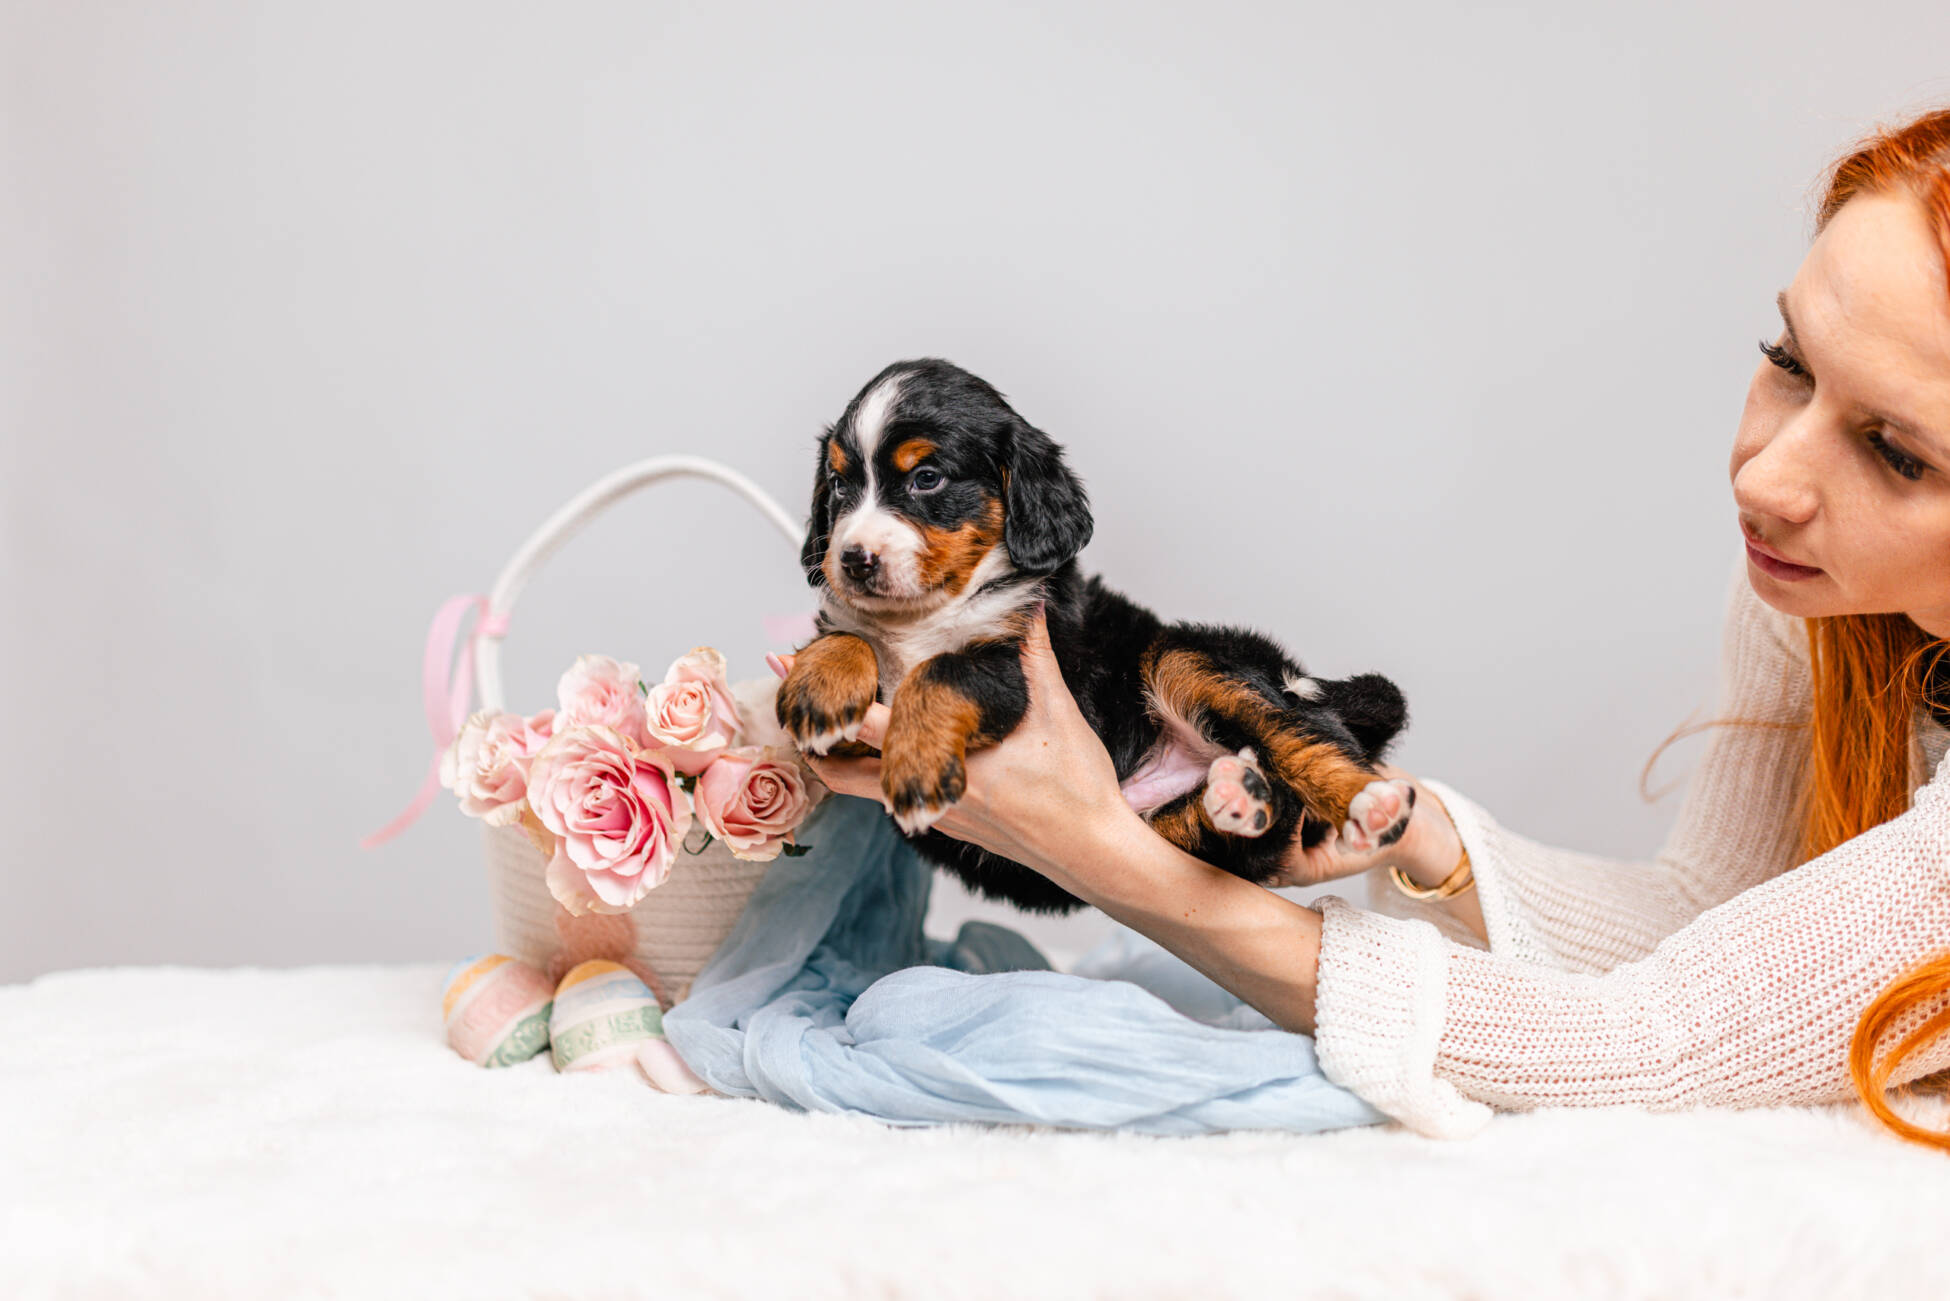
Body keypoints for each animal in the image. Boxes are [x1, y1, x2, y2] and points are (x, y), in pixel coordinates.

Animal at [778, 358, 1414, 913]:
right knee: (1245, 831)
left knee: (1305, 736)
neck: (923, 616)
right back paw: (1241, 796)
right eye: (838, 484)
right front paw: (818, 690)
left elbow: (942, 672)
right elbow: (847, 638)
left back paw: (1370, 804)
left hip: (1190, 658)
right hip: (1165, 830)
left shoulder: (1016, 667)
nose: (853, 559)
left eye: (926, 479)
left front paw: (915, 764)